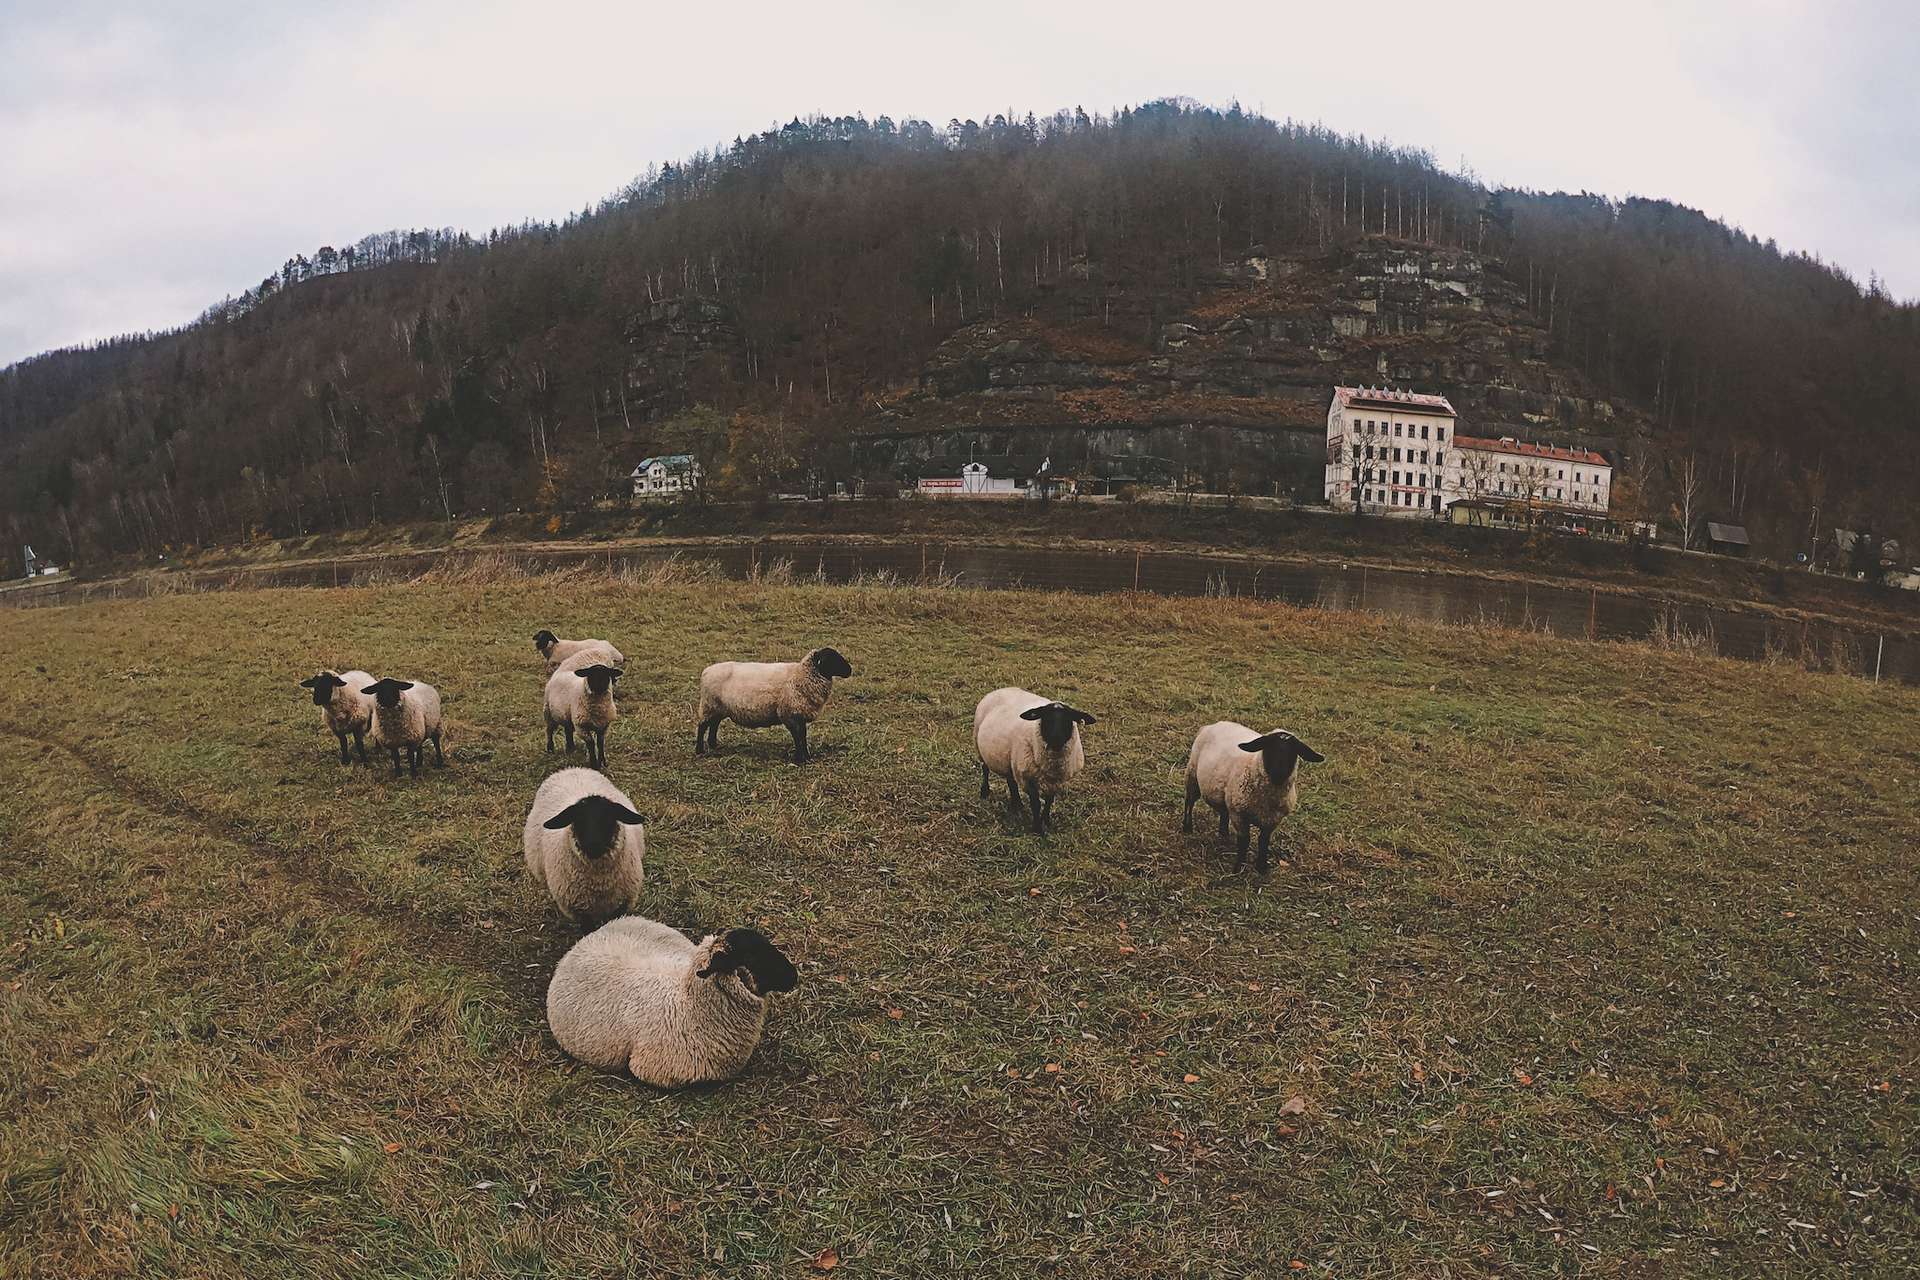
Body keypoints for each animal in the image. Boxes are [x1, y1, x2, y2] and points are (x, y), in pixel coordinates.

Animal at [522, 767, 648, 924]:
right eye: (578, 819)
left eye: (609, 817)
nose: (593, 845)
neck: (600, 883)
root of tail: (572, 768)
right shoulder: (579, 910)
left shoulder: (622, 904)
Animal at [695, 644, 852, 767]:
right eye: (832, 659)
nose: (850, 670)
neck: (801, 675)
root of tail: (706, 671)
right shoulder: (789, 714)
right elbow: (797, 737)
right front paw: (800, 759)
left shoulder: (799, 714)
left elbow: (803, 735)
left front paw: (807, 757)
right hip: (709, 705)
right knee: (702, 726)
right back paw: (699, 750)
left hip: (718, 707)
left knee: (714, 724)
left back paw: (714, 744)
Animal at [975, 687, 1098, 836]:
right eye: (1046, 717)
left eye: (1068, 719)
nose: (1056, 739)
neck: (1053, 764)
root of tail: (1001, 689)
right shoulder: (1028, 779)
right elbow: (1036, 804)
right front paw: (1038, 828)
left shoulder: (1056, 780)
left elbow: (1049, 800)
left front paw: (1046, 820)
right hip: (978, 744)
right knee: (985, 769)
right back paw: (985, 791)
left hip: (1010, 759)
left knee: (1011, 780)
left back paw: (1017, 804)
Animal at [1175, 721, 1328, 871]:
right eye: (1269, 747)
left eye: (1293, 752)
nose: (1279, 773)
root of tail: (1213, 725)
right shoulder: (1239, 815)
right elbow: (1244, 841)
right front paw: (1239, 867)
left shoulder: (1273, 820)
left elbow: (1263, 842)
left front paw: (1261, 867)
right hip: (1192, 774)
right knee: (1189, 801)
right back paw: (1187, 827)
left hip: (1226, 794)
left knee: (1223, 811)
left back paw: (1224, 834)